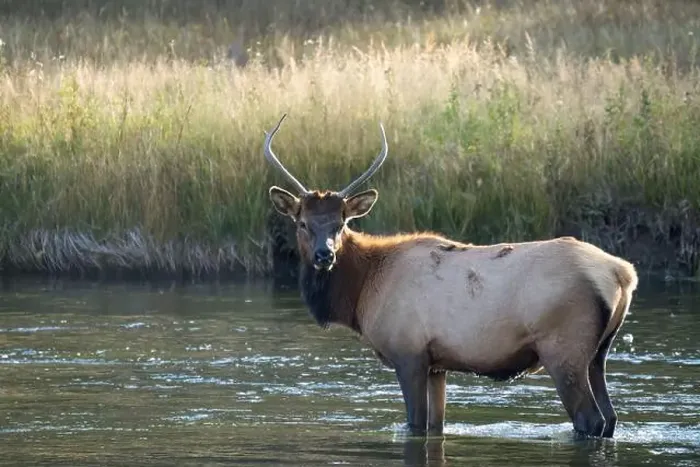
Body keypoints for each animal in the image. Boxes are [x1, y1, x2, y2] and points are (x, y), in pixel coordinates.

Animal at [262, 114, 638, 439]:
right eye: (303, 223)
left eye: (341, 223)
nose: (324, 255)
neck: (363, 291)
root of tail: (622, 273)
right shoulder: (436, 365)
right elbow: (435, 425)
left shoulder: (409, 352)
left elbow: (415, 423)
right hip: (598, 352)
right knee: (610, 417)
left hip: (564, 349)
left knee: (590, 419)